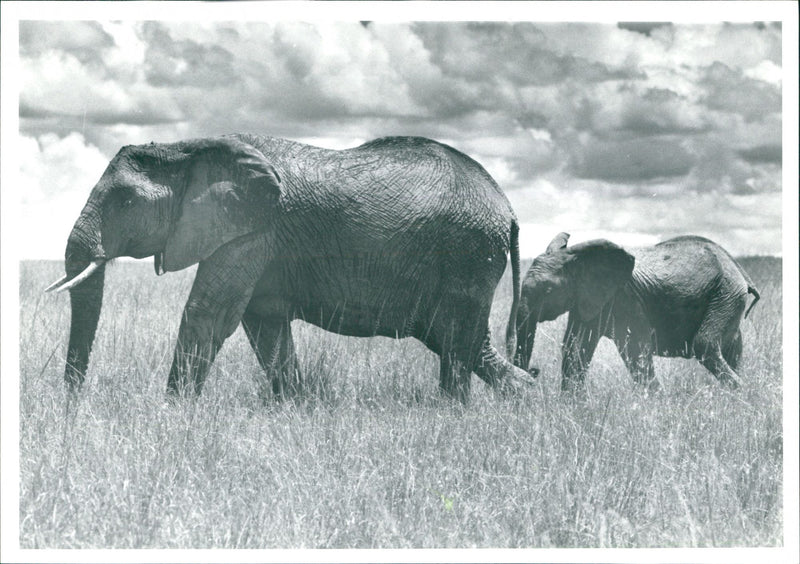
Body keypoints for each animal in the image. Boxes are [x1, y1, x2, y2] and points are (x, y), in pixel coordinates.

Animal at [46, 134, 536, 403]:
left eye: (126, 201)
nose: (72, 404)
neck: (187, 149)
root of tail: (509, 209)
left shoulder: (251, 231)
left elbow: (208, 315)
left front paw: (170, 413)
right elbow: (264, 325)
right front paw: (298, 408)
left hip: (467, 254)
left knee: (457, 341)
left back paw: (456, 411)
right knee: (463, 344)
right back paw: (524, 399)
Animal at [512, 232, 760, 393]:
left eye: (548, 290)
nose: (534, 371)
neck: (579, 257)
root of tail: (738, 268)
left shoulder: (623, 298)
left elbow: (636, 348)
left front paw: (657, 404)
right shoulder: (589, 298)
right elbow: (576, 348)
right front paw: (572, 407)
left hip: (725, 292)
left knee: (704, 344)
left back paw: (742, 395)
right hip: (727, 296)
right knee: (732, 346)